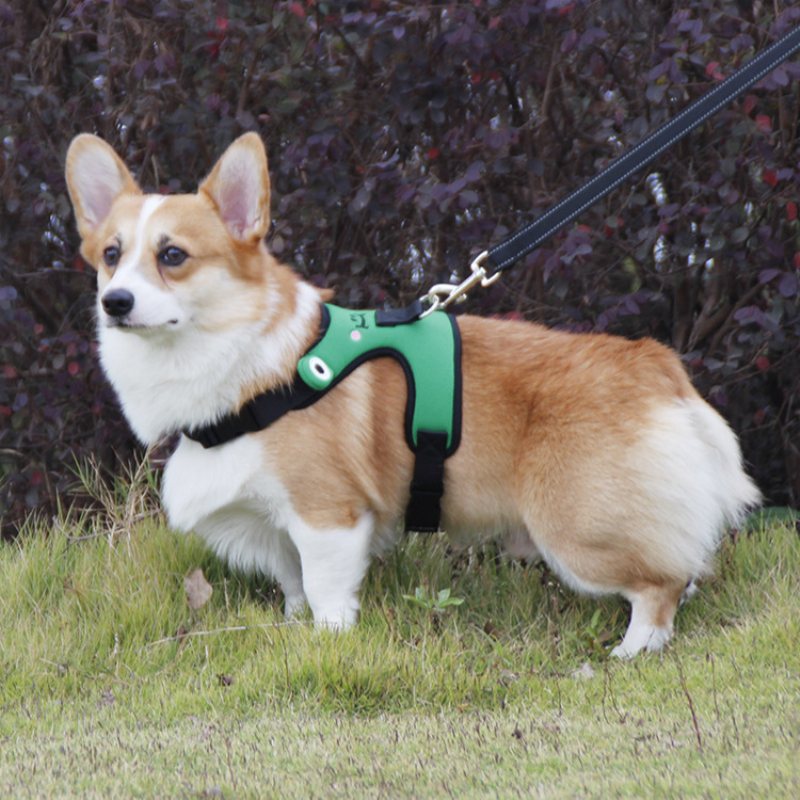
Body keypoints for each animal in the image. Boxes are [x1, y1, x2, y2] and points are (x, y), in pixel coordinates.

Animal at [65, 131, 760, 656]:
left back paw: (631, 651)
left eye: (173, 256)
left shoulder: (328, 516)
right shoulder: (275, 527)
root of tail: (655, 365)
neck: (244, 366)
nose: (114, 303)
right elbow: (293, 588)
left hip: (578, 531)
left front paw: (327, 643)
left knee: (658, 587)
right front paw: (292, 632)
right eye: (111, 255)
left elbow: (326, 594)